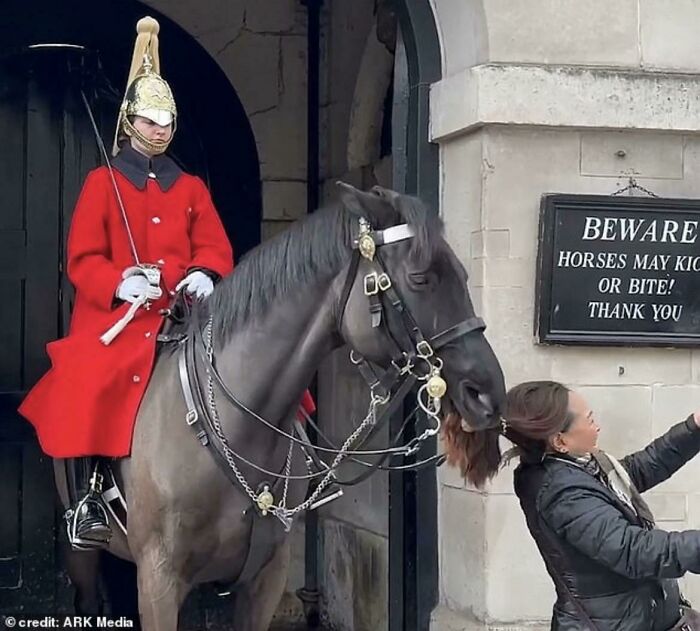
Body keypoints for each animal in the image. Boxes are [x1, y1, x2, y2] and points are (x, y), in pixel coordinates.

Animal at [54, 182, 506, 630]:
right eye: (420, 278)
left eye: (464, 275)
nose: (488, 394)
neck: (236, 427)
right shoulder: (159, 579)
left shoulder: (265, 577)